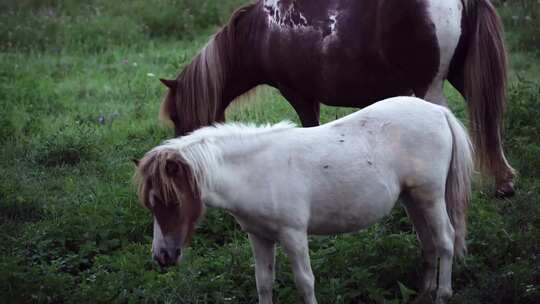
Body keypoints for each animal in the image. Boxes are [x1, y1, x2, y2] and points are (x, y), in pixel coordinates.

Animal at [134, 97, 472, 304]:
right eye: (151, 205)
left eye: (170, 201)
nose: (162, 256)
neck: (255, 171)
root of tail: (437, 111)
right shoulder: (259, 236)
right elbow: (263, 281)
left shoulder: (293, 234)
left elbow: (305, 281)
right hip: (412, 199)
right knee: (428, 242)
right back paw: (424, 293)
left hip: (430, 196)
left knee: (445, 239)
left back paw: (442, 294)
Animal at [159, 0, 516, 197]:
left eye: (177, 116)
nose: (176, 168)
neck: (260, 32)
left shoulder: (299, 94)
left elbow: (308, 130)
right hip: (463, 77)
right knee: (490, 123)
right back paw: (504, 183)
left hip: (430, 88)